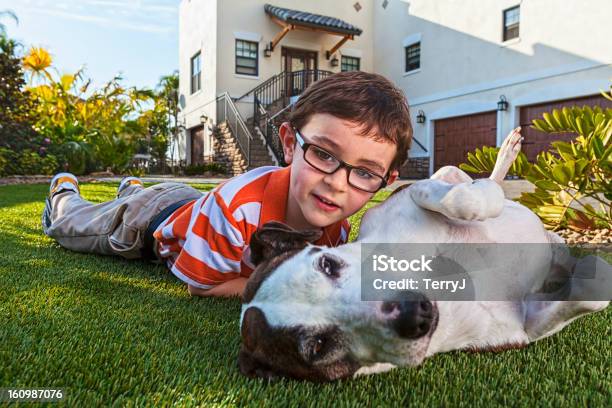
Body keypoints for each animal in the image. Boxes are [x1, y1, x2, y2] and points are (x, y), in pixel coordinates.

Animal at [237, 131, 608, 382]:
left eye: (327, 264)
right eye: (317, 347)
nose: (413, 314)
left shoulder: (415, 191)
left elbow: (459, 197)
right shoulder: (523, 330)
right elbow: (594, 288)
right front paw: (586, 267)